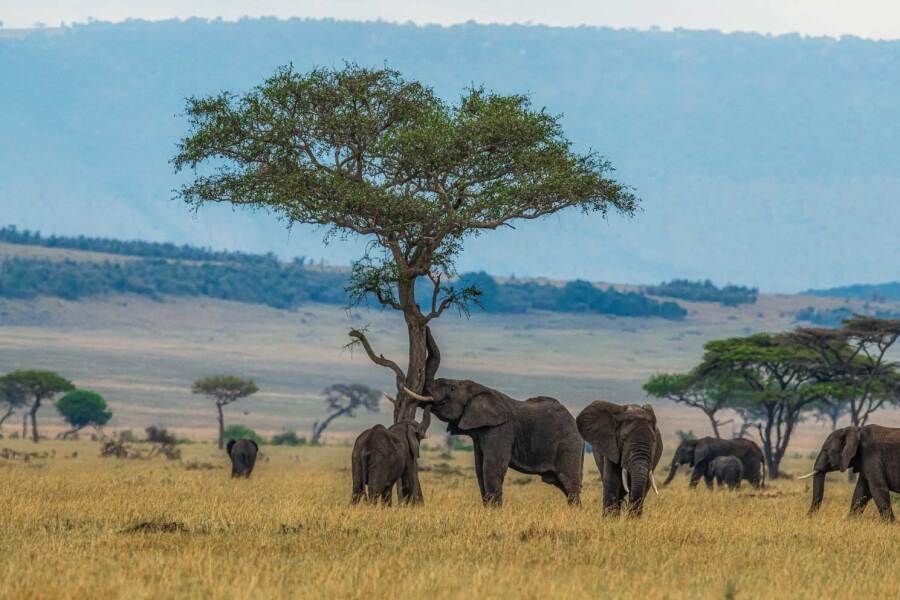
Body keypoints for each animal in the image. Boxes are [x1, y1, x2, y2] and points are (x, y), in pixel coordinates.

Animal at [404, 328, 588, 506]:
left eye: (452, 389)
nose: (427, 327)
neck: (480, 389)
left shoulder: (500, 429)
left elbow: (491, 468)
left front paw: (494, 510)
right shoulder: (479, 434)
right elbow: (479, 469)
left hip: (568, 444)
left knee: (569, 483)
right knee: (563, 483)